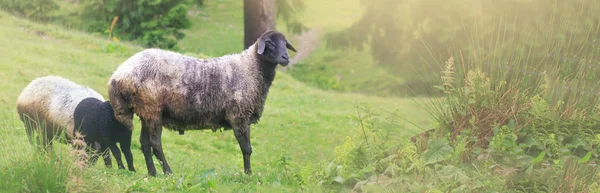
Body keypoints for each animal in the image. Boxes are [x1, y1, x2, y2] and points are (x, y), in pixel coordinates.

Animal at [107, 29, 298, 176]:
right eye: (269, 43)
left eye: (285, 43)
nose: (286, 58)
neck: (250, 69)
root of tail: (117, 75)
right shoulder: (239, 116)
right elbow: (247, 149)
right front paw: (248, 175)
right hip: (152, 109)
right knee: (155, 144)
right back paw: (168, 172)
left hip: (146, 111)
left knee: (145, 144)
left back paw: (152, 173)